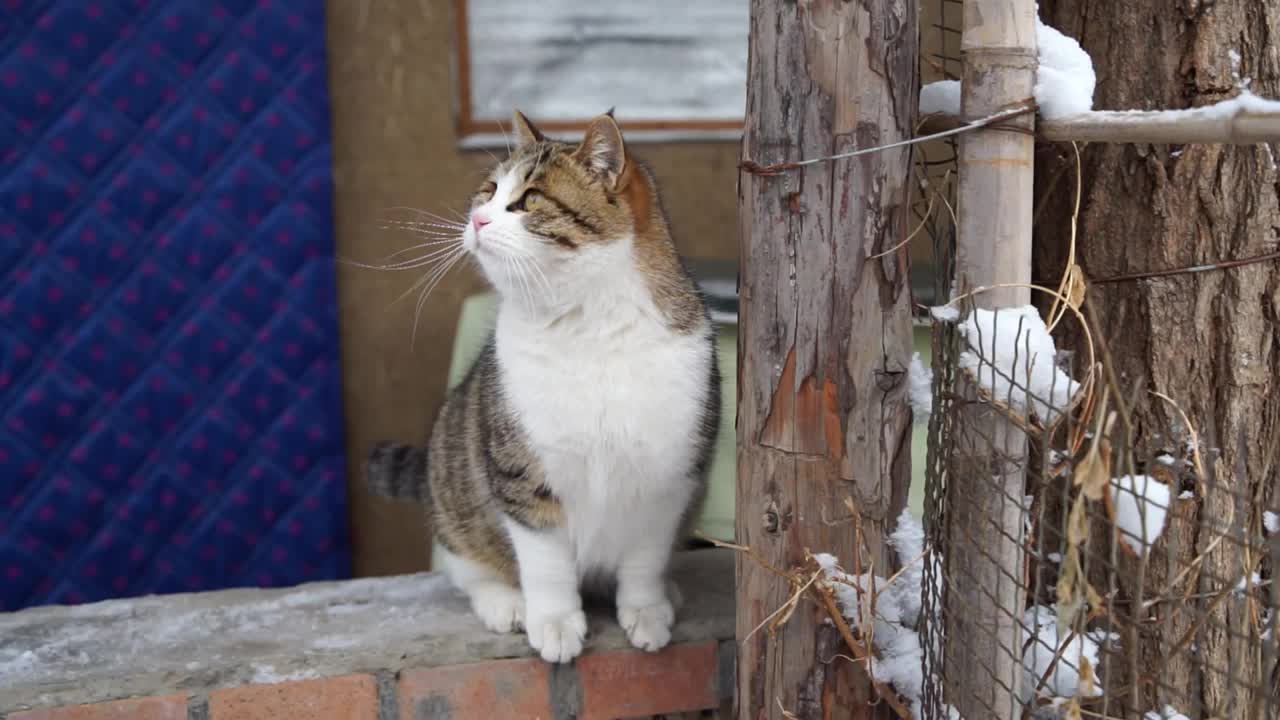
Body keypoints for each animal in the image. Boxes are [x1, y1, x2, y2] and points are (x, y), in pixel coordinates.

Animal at [368, 107, 721, 661]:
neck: (587, 326)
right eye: (489, 191)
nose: (478, 219)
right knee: (466, 565)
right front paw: (554, 622)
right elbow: (545, 561)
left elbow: (645, 556)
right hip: (454, 491)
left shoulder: (672, 474)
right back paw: (504, 602)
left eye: (529, 199)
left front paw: (646, 609)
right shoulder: (522, 473)